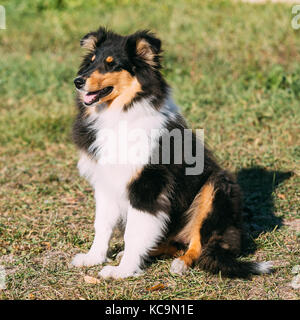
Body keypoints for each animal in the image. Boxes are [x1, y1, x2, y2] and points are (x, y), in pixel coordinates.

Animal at [71, 27, 274, 278]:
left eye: (112, 64)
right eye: (90, 61)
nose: (78, 81)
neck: (119, 113)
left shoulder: (148, 185)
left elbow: (133, 233)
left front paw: (122, 271)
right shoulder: (106, 182)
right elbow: (102, 225)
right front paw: (93, 258)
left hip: (215, 187)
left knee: (198, 243)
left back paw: (181, 264)